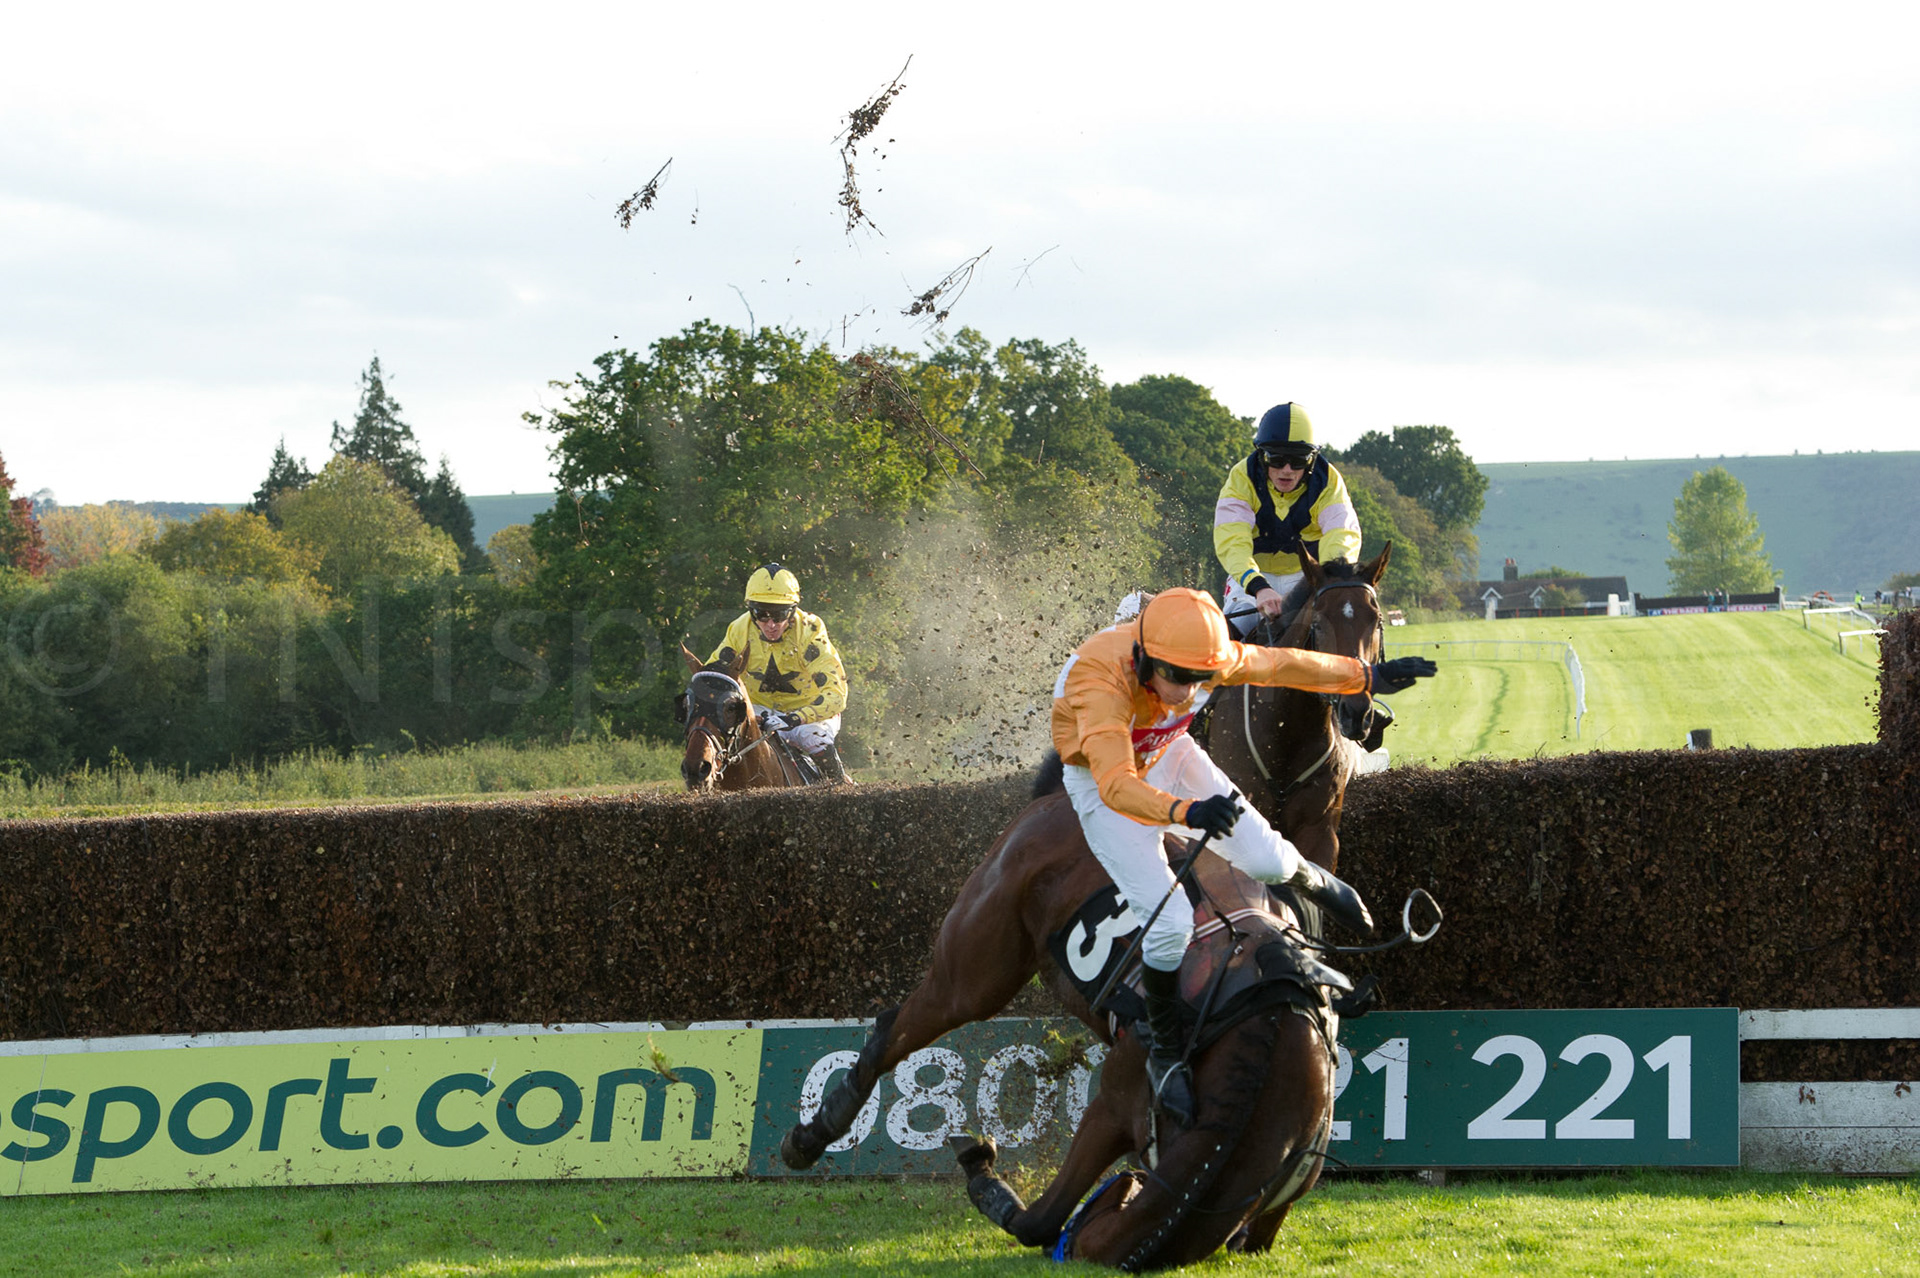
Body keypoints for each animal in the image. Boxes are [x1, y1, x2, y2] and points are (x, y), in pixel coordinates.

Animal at [779, 761, 1362, 1269]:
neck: (1265, 1043)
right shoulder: (1115, 1103)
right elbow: (1044, 1217)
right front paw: (985, 1178)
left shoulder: (1276, 1199)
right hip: (977, 964)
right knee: (900, 1029)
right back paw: (814, 1134)